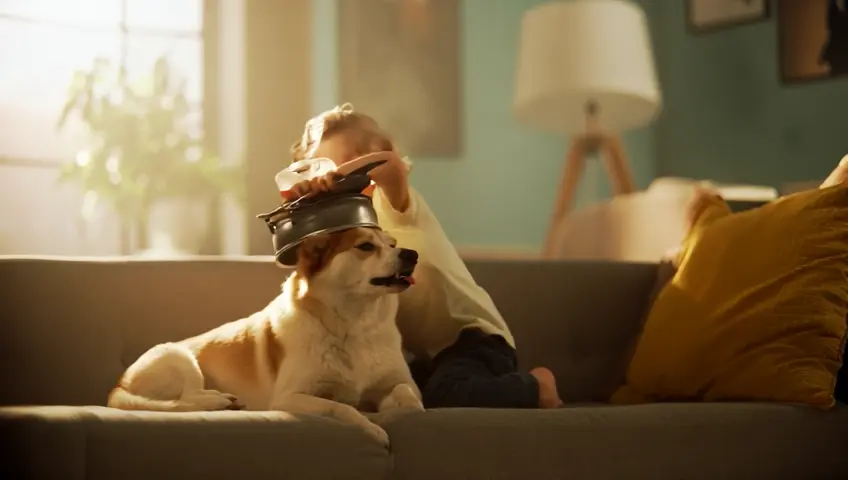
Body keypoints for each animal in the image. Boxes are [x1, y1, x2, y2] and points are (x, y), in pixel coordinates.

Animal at [107, 227, 424, 444]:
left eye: (393, 244)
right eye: (366, 246)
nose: (412, 254)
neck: (356, 324)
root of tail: (119, 385)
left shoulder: (398, 383)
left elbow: (409, 396)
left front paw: (402, 411)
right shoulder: (289, 398)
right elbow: (341, 408)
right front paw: (372, 427)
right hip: (179, 357)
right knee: (186, 399)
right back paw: (220, 401)